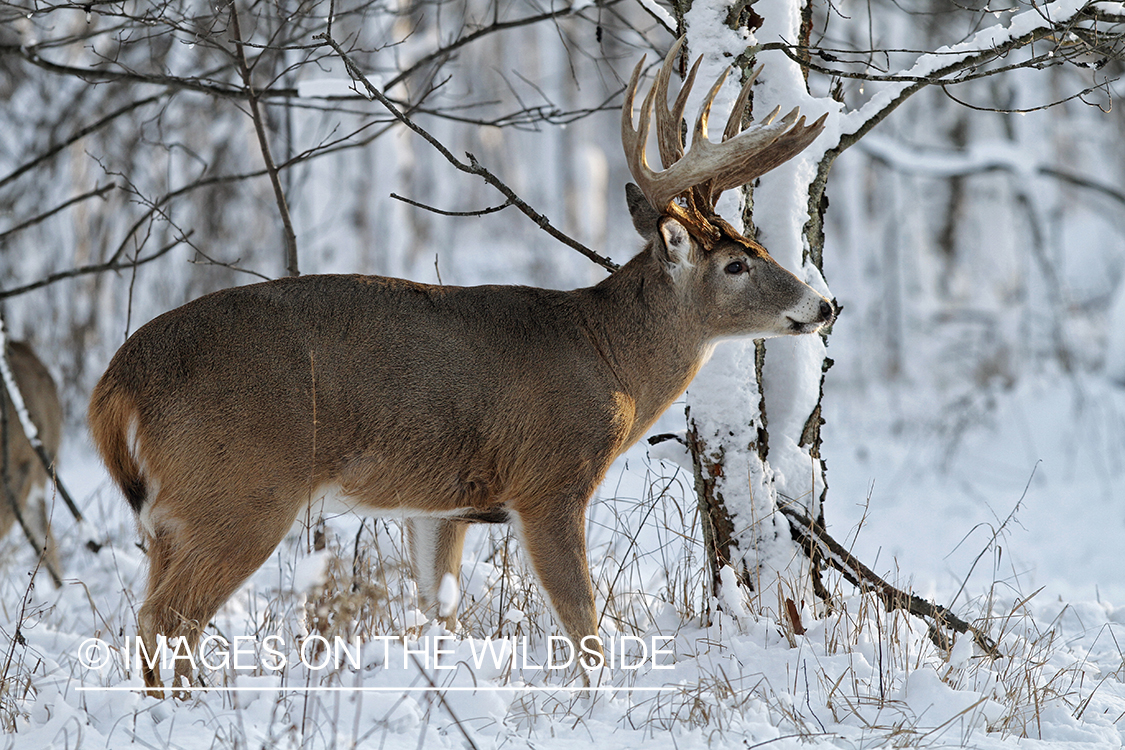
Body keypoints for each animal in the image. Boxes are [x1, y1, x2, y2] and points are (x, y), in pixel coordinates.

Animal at [87, 39, 837, 697]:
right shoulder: (549, 479)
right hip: (243, 489)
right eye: (734, 264)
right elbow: (583, 621)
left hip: (175, 511)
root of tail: (117, 380)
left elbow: (437, 611)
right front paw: (600, 699)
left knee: (158, 612)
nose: (824, 304)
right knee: (165, 617)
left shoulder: (438, 503)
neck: (608, 356)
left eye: (757, 243)